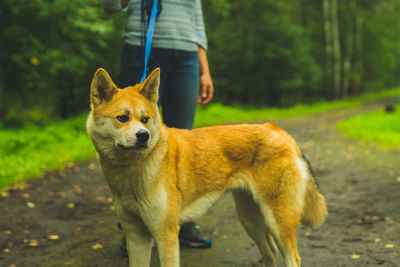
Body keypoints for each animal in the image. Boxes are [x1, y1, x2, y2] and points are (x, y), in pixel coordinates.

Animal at [86, 68, 326, 266]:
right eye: (122, 118)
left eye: (145, 119)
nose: (143, 136)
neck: (131, 173)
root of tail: (275, 129)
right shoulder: (136, 236)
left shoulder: (166, 233)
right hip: (250, 219)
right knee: (271, 253)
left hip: (277, 220)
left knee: (292, 258)